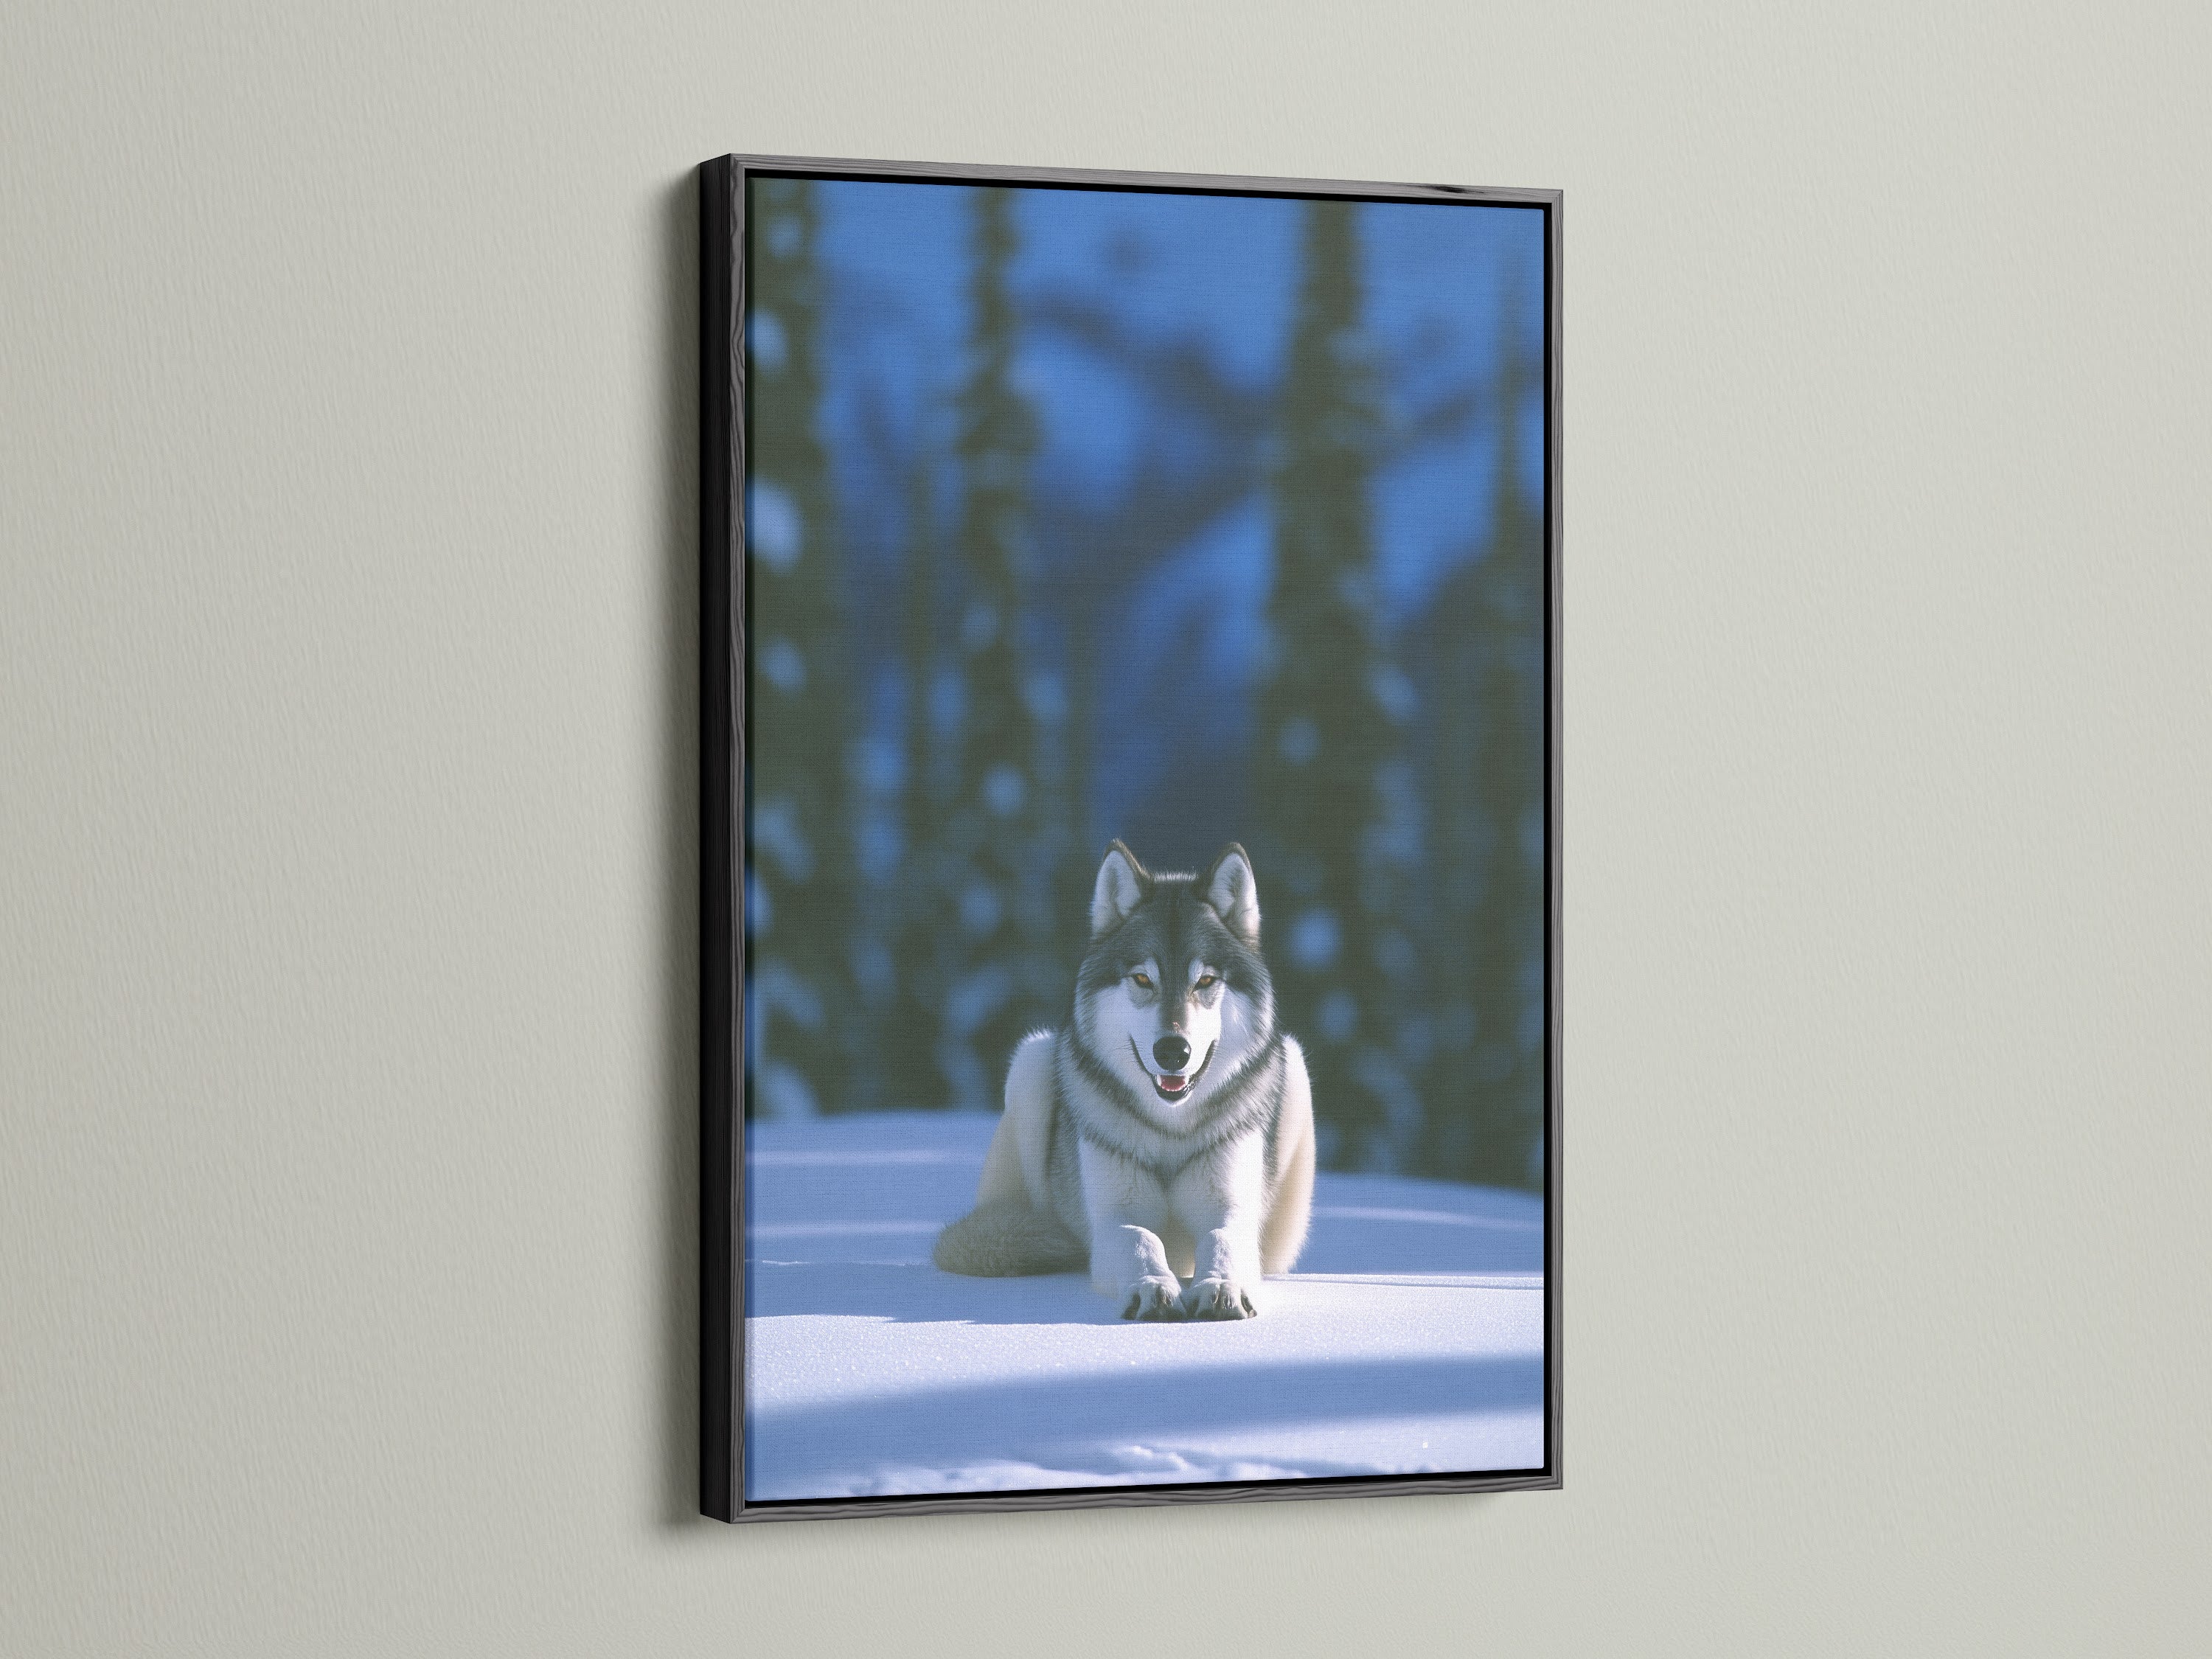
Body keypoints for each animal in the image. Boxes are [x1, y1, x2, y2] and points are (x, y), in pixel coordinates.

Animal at [933, 841, 1315, 1320]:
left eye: (1206, 980)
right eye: (1142, 978)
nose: (1173, 1051)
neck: (1170, 1129)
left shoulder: (1231, 1210)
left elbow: (1221, 1238)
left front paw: (1221, 1286)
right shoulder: (1114, 1219)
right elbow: (1141, 1239)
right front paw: (1153, 1287)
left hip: (1295, 1066)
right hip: (1032, 1060)